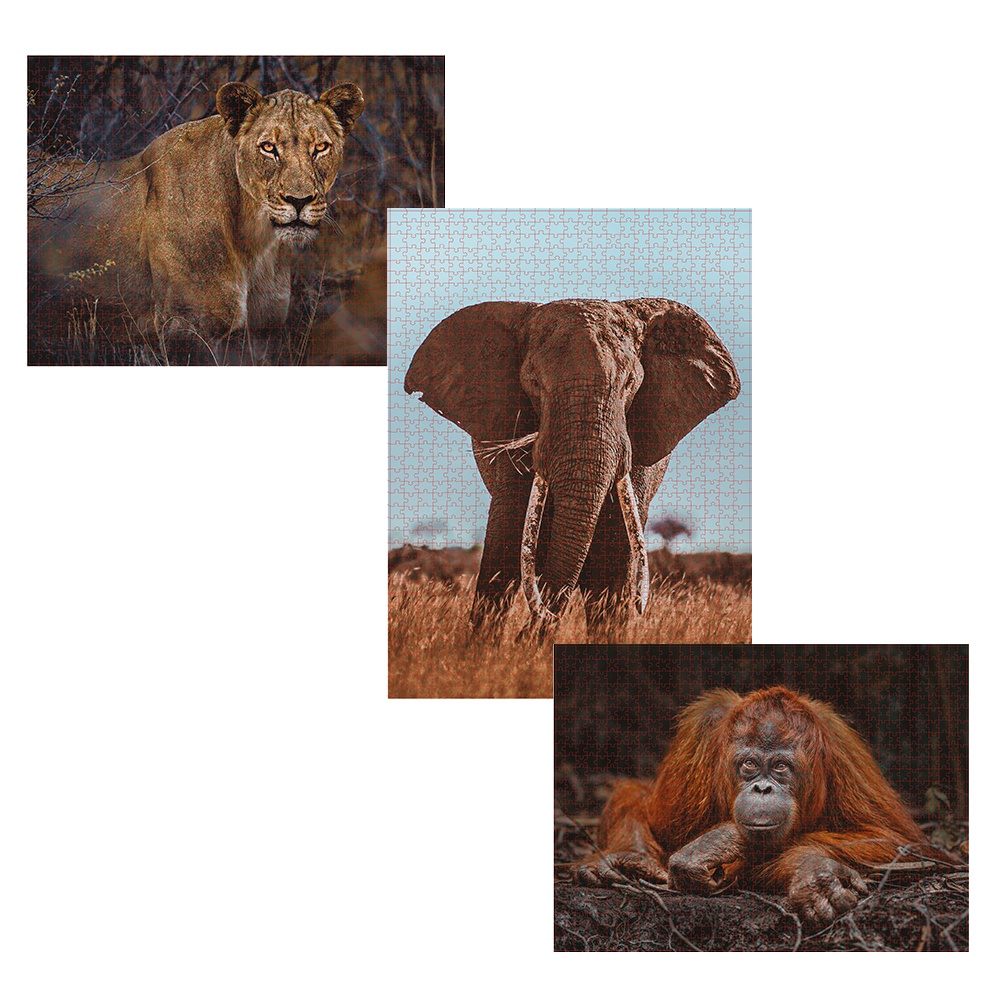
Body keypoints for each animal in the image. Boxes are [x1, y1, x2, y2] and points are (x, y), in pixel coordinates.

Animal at [29, 81, 364, 362]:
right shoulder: (187, 328)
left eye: (320, 147)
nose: (299, 200)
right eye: (269, 147)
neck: (254, 242)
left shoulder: (263, 334)